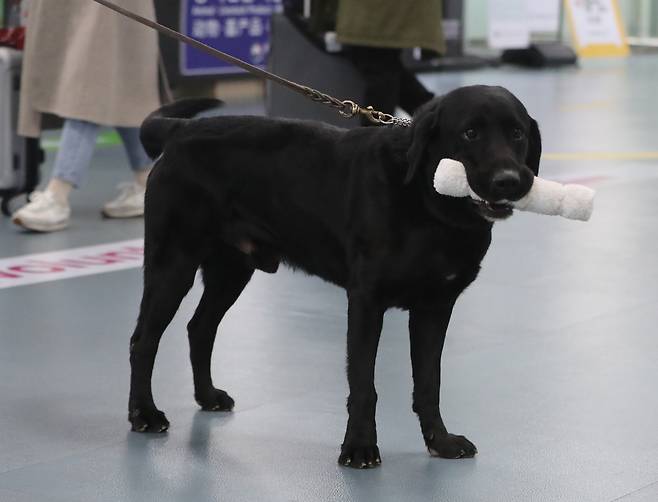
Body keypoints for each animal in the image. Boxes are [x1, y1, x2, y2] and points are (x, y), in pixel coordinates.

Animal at [127, 84, 540, 468]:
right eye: (470, 133)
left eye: (517, 133)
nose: (508, 180)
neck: (429, 205)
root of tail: (181, 131)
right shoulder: (366, 301)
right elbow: (363, 383)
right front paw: (359, 447)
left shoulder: (435, 307)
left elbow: (429, 383)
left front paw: (441, 441)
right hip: (173, 265)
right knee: (143, 341)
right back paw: (145, 414)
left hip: (232, 270)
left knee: (200, 328)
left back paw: (208, 397)